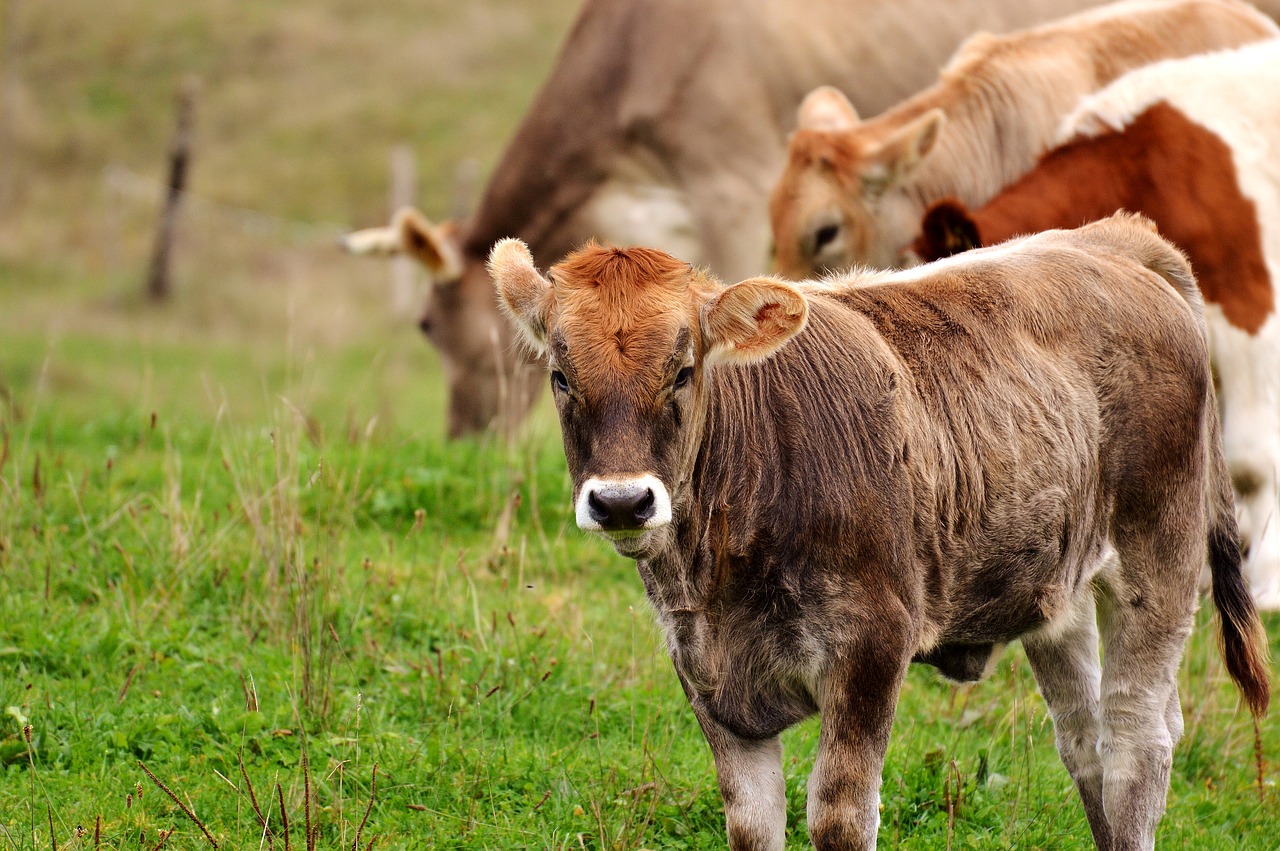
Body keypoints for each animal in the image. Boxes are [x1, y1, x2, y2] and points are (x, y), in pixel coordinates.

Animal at [488, 217, 1269, 849]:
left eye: (683, 371)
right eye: (561, 376)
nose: (622, 501)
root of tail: (1111, 238)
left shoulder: (870, 646)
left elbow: (838, 816)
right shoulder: (708, 680)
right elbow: (752, 823)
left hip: (1157, 561)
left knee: (1139, 741)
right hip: (1058, 592)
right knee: (1088, 739)